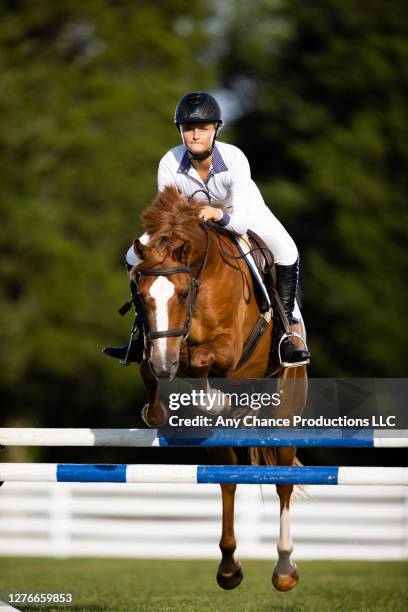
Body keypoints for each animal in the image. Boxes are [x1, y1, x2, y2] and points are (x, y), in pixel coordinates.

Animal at [129, 185, 308, 588]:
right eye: (140, 295)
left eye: (182, 294)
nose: (165, 365)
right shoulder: (157, 345)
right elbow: (151, 365)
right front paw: (157, 408)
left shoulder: (229, 347)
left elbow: (201, 359)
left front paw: (210, 398)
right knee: (227, 481)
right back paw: (228, 568)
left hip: (285, 414)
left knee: (283, 483)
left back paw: (284, 569)